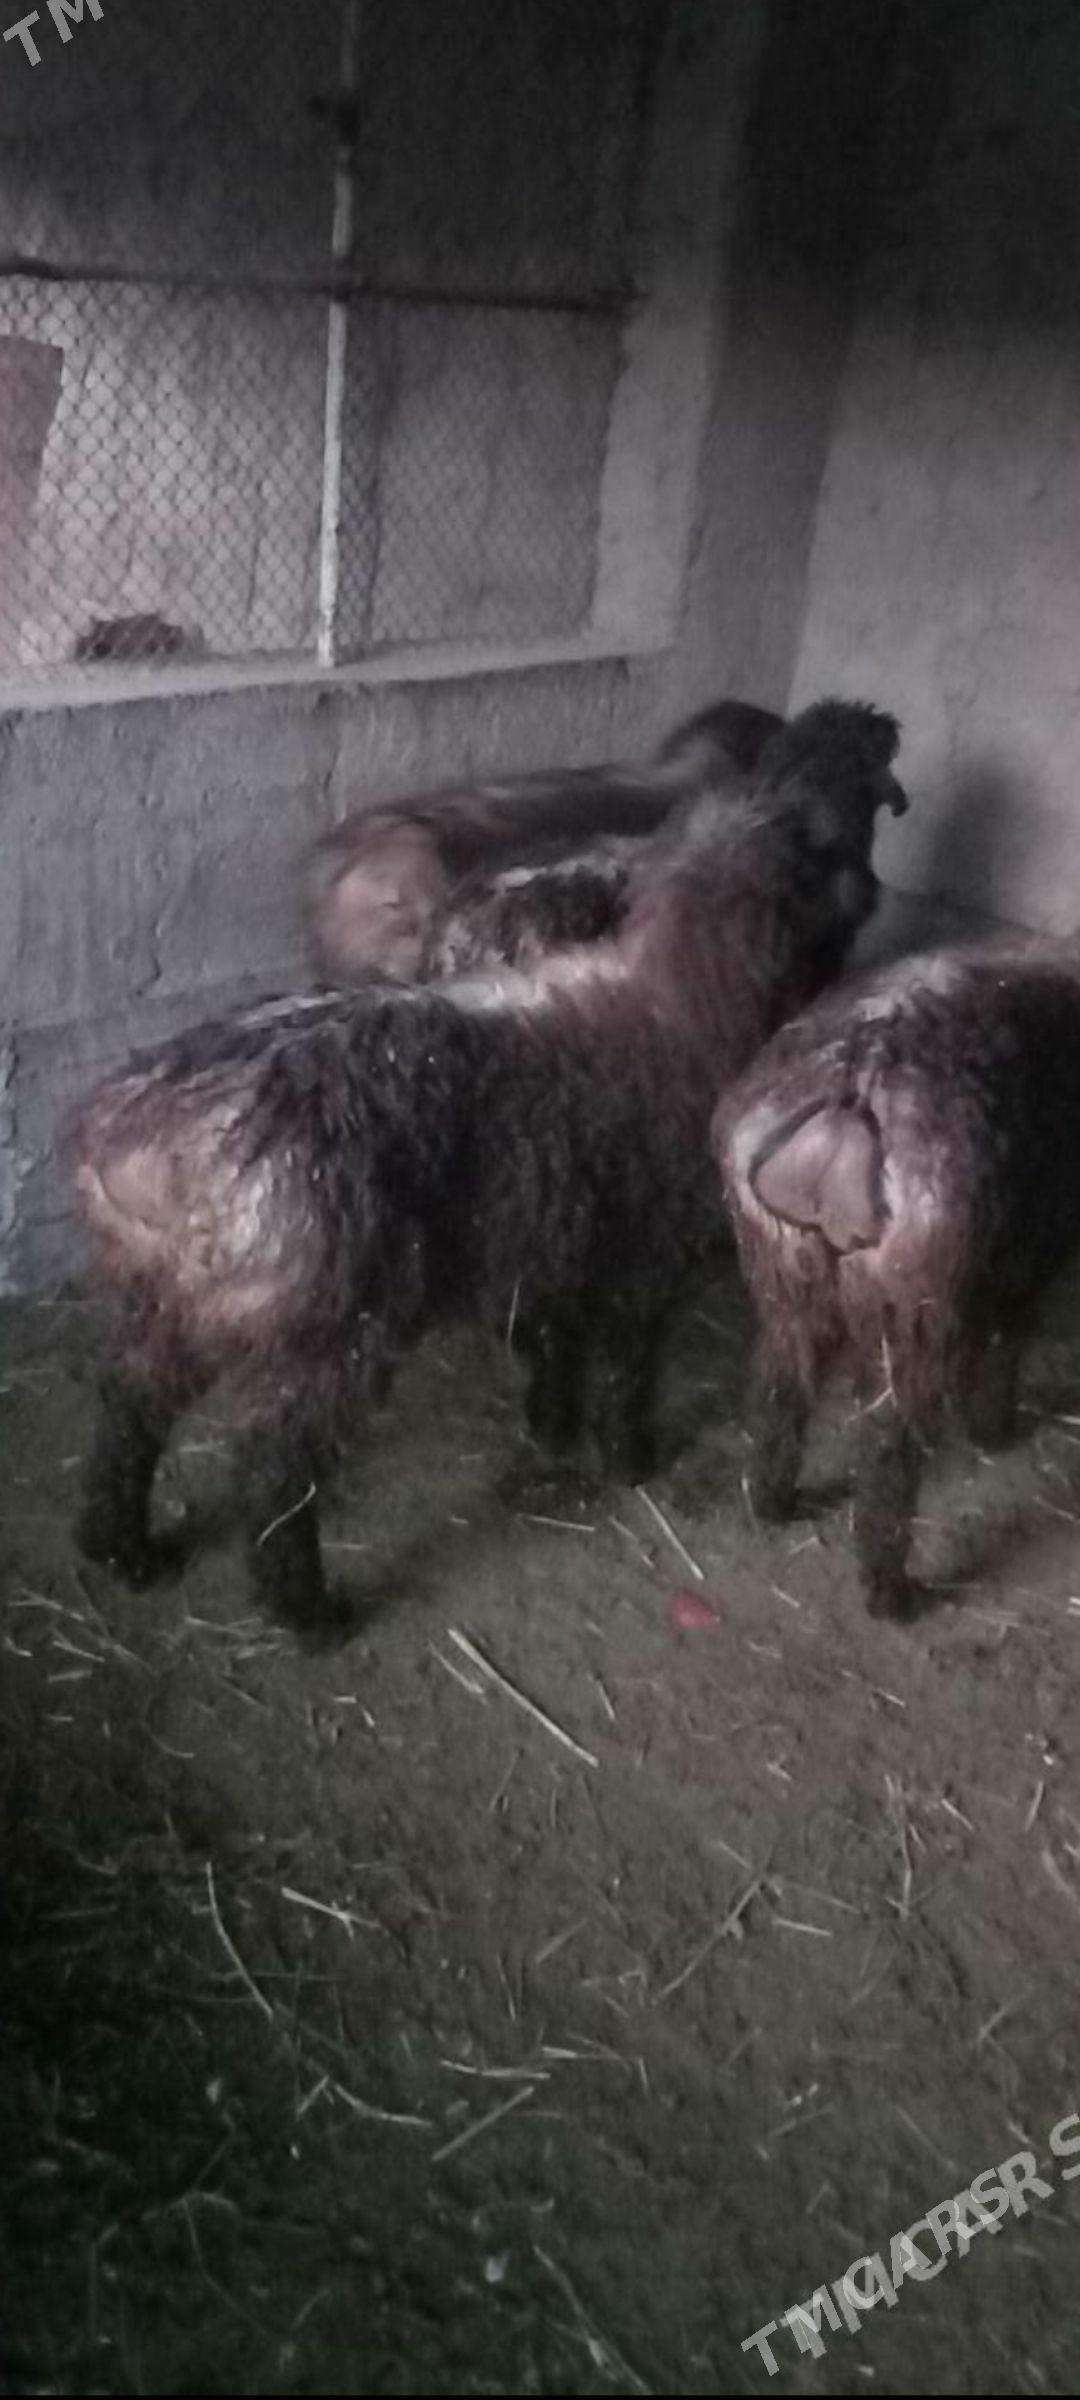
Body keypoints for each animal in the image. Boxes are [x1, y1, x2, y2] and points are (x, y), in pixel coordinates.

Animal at [716, 934, 1080, 1620]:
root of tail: (858, 1082)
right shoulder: (1028, 1252)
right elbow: (1005, 1342)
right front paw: (995, 1431)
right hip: (913, 1307)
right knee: (890, 1454)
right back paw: (890, 1591)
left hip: (784, 1274)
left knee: (779, 1396)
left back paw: (773, 1502)